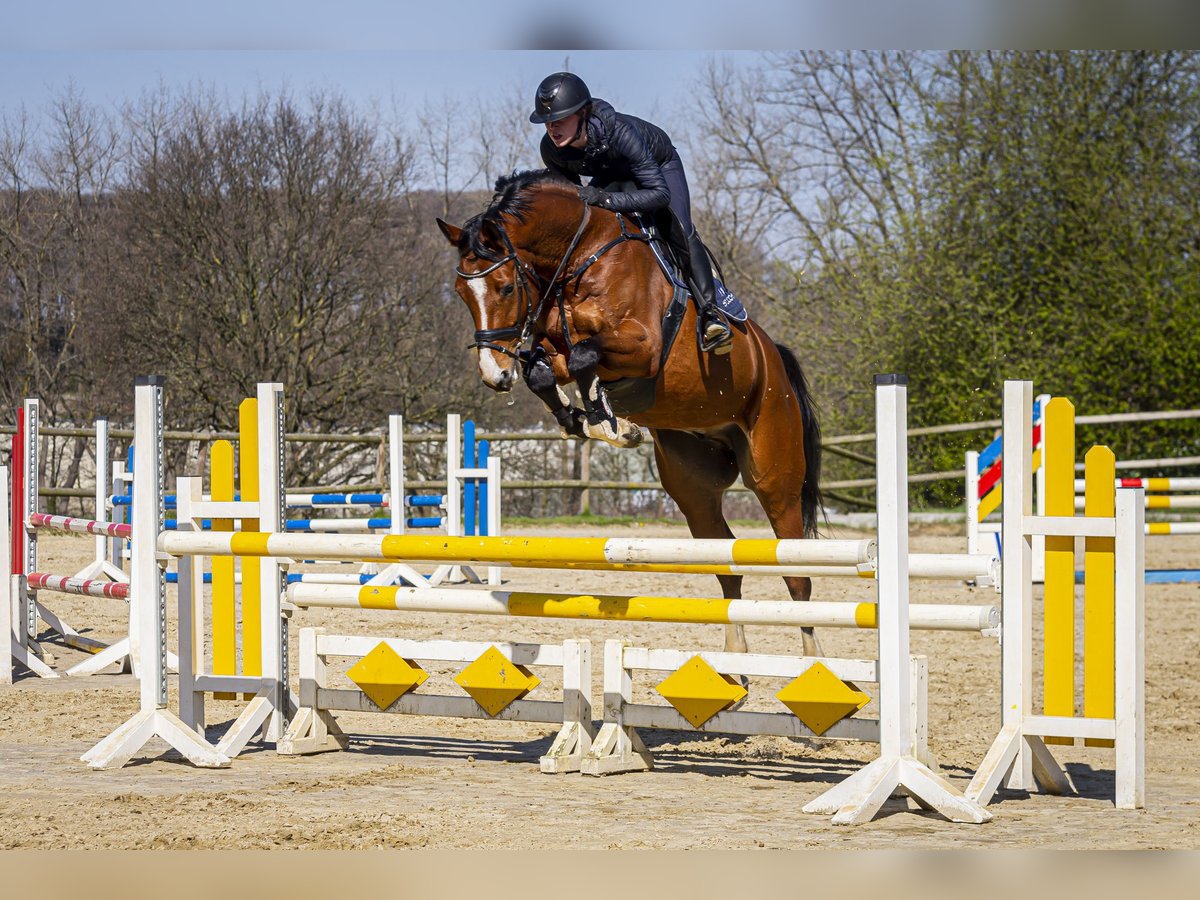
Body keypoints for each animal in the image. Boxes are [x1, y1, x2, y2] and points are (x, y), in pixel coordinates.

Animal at [441, 170, 825, 657]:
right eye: (461, 293)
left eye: (506, 287)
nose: (494, 375)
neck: (581, 256)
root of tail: (772, 355)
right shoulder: (552, 346)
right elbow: (543, 370)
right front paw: (589, 422)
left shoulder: (641, 347)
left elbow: (584, 356)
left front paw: (608, 421)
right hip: (694, 486)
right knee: (725, 563)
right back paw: (735, 664)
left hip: (774, 472)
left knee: (796, 574)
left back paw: (815, 666)